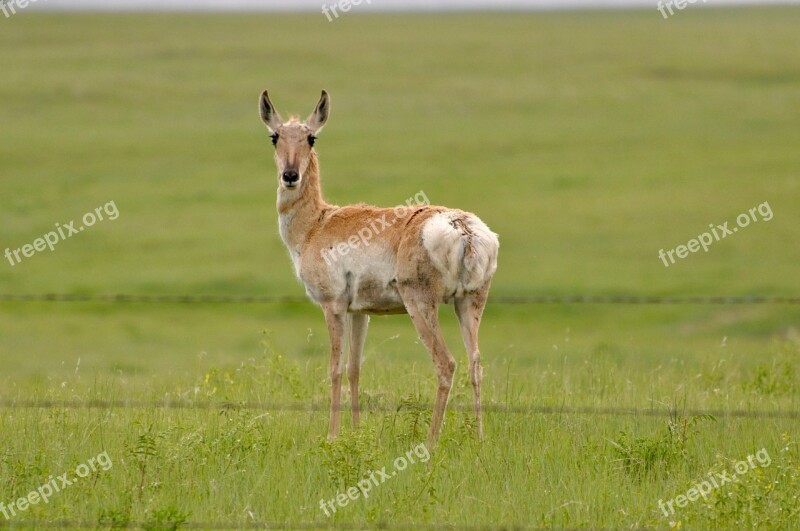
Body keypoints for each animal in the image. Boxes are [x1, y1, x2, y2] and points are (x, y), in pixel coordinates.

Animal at [260, 90, 496, 444]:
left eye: (311, 137)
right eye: (275, 136)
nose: (290, 176)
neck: (316, 223)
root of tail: (462, 227)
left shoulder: (333, 306)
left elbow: (335, 369)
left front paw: (332, 435)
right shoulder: (360, 312)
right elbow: (355, 368)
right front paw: (356, 432)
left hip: (420, 304)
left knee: (447, 364)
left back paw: (430, 441)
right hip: (468, 303)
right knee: (476, 362)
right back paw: (480, 438)